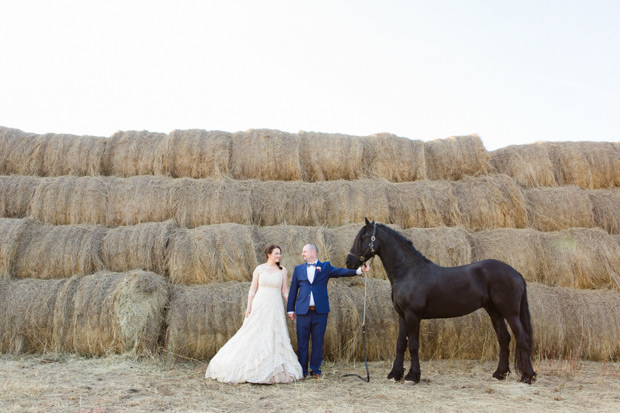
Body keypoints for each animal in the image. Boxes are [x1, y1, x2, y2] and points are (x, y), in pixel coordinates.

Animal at [346, 219, 536, 384]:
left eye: (363, 237)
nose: (349, 261)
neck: (409, 271)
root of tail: (516, 273)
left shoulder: (413, 316)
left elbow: (413, 345)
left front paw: (412, 376)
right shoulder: (402, 315)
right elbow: (400, 344)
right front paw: (395, 374)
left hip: (511, 313)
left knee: (522, 338)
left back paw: (528, 376)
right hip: (495, 312)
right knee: (504, 338)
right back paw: (500, 374)